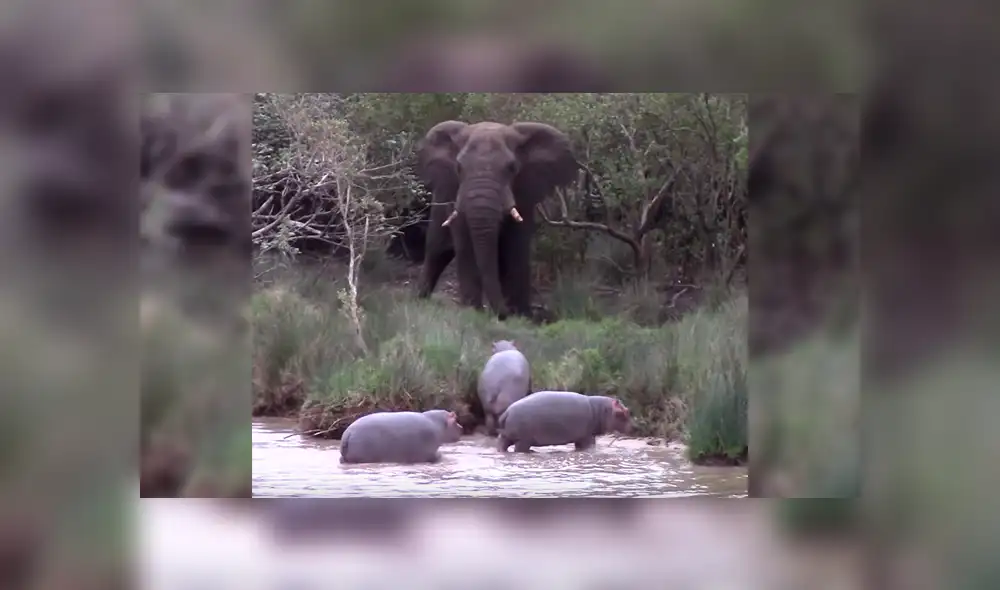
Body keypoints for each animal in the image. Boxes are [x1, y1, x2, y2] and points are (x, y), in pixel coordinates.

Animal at [416, 121, 578, 319]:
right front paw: (473, 311)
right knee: (437, 251)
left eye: (512, 168)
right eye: (459, 168)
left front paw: (520, 316)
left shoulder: (524, 194)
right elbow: (466, 248)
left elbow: (515, 249)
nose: (502, 313)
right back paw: (420, 299)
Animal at [496, 391, 632, 453]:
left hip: (506, 436)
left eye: (628, 410)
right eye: (621, 413)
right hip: (523, 440)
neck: (600, 410)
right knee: (519, 449)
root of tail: (507, 412)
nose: (634, 428)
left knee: (501, 445)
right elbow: (590, 446)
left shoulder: (580, 438)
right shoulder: (587, 436)